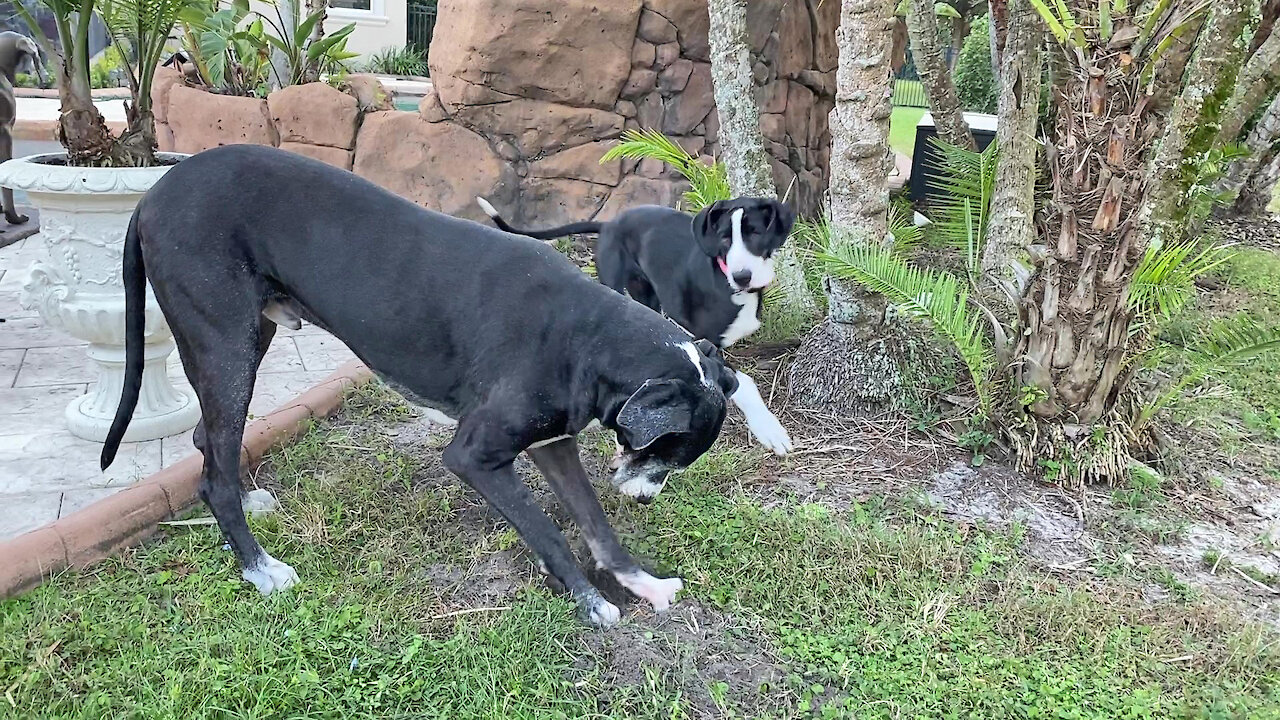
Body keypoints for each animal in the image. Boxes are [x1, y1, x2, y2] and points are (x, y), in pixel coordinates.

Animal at [99, 144, 742, 622]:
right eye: (664, 453)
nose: (646, 497)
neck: (586, 337)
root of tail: (151, 192)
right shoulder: (476, 456)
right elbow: (547, 530)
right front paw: (589, 603)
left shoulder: (553, 443)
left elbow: (595, 524)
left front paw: (642, 583)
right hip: (226, 345)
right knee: (212, 473)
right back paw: (260, 568)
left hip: (248, 340)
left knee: (209, 443)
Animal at [476, 196, 793, 453]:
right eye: (725, 239)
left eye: (756, 233)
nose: (742, 276)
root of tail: (609, 223)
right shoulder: (705, 341)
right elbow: (744, 382)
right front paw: (769, 429)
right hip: (614, 285)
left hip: (646, 295)